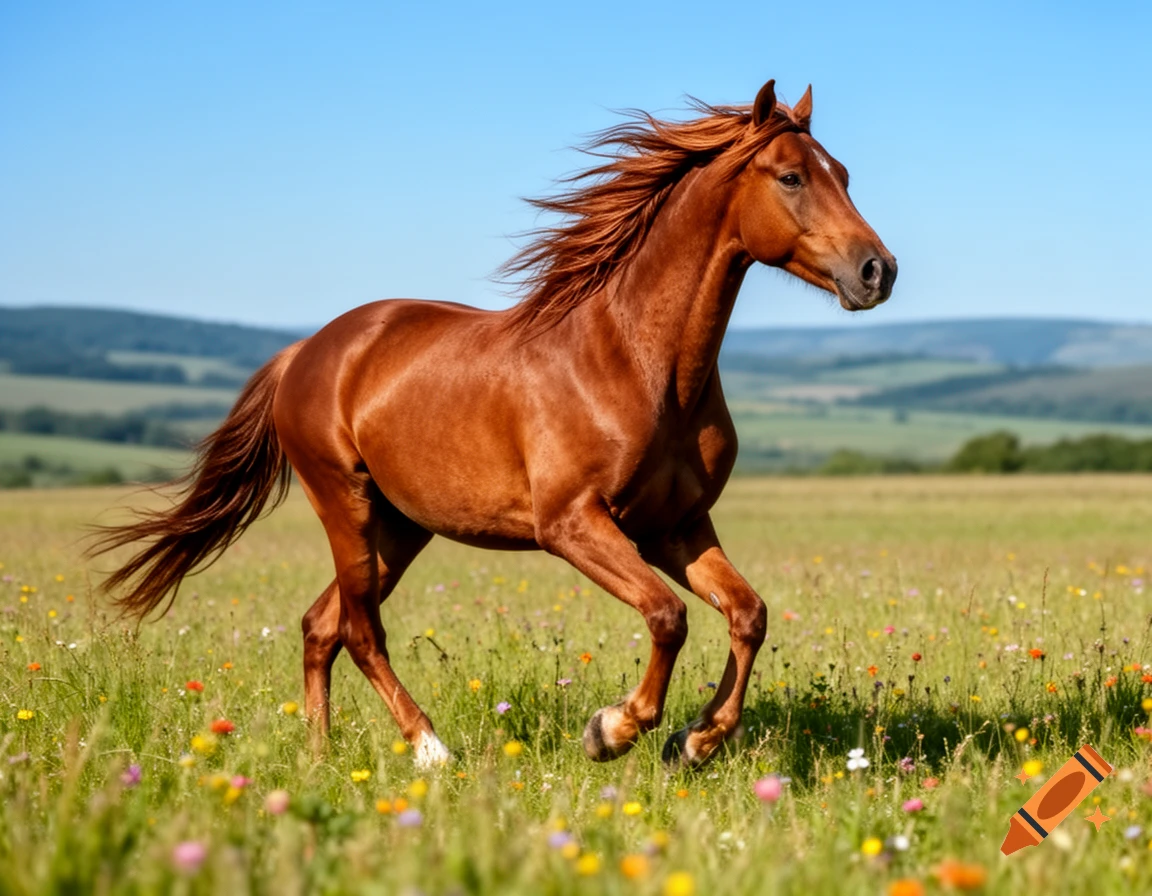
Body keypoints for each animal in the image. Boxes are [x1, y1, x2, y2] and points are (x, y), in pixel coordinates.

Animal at [92, 79, 896, 769]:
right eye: (791, 177)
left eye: (844, 173)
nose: (877, 271)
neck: (640, 362)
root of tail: (307, 351)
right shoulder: (572, 524)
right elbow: (668, 615)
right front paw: (613, 729)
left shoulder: (676, 526)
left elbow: (748, 615)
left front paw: (694, 743)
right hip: (345, 506)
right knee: (359, 629)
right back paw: (428, 750)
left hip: (400, 526)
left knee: (320, 626)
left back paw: (319, 758)